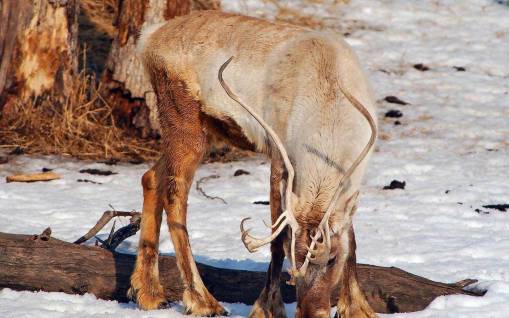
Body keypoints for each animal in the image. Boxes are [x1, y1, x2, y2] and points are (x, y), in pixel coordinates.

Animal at [128, 9, 378, 318]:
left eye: (331, 259)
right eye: (296, 261)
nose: (310, 312)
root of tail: (148, 38)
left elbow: (351, 239)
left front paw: (357, 307)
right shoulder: (280, 157)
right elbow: (275, 239)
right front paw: (267, 307)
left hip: (198, 129)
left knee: (151, 176)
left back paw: (148, 292)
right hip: (184, 120)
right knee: (175, 193)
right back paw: (202, 301)